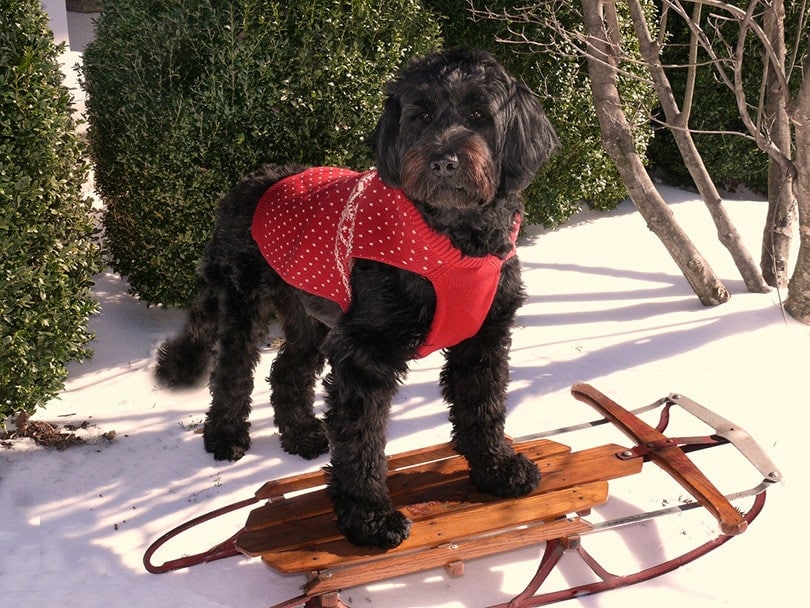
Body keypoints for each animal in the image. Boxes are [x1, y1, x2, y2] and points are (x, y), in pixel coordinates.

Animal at [155, 48, 560, 552]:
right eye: (420, 115)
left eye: (478, 116)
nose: (444, 162)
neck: (449, 240)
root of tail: (250, 180)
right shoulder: (365, 353)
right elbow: (362, 440)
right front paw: (368, 517)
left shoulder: (482, 338)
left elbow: (483, 407)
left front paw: (497, 470)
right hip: (242, 301)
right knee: (232, 371)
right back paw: (226, 436)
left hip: (311, 312)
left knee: (288, 369)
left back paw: (303, 434)